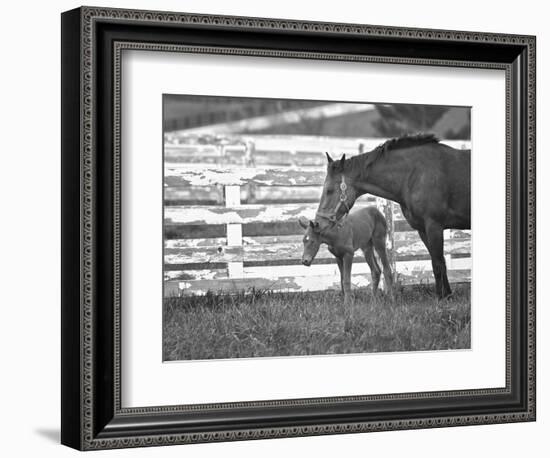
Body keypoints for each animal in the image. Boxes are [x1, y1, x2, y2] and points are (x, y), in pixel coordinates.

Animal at [316, 133, 472, 296]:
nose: (318, 222)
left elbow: (438, 263)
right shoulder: (423, 230)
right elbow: (438, 262)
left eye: (329, 190)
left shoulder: (434, 226)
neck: (416, 174)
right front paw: (446, 294)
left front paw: (442, 297)